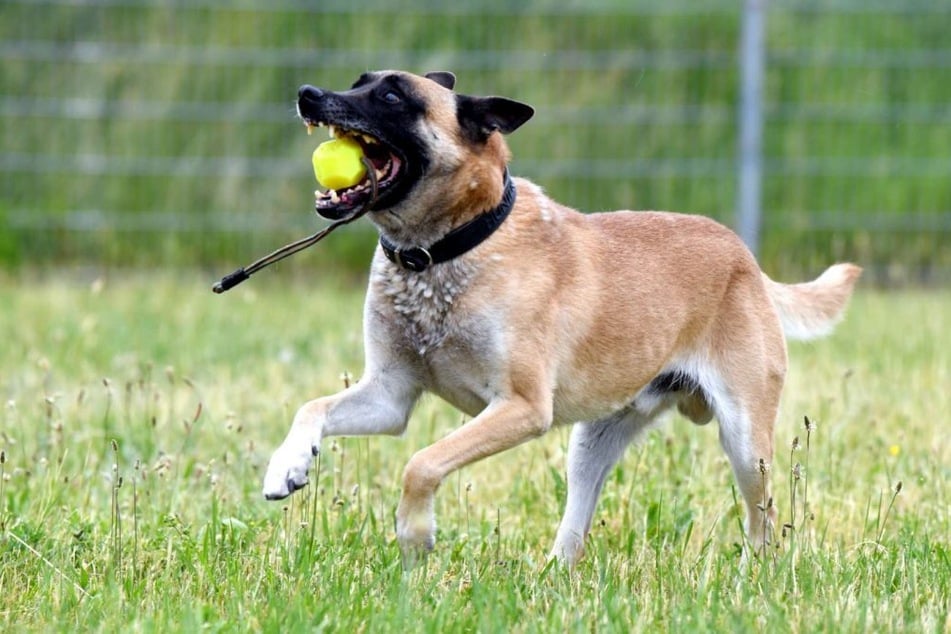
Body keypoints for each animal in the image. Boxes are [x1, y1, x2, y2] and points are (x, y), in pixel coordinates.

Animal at [260, 71, 864, 564]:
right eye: (357, 81)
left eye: (391, 96)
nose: (307, 94)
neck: (445, 251)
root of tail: (746, 259)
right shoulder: (390, 396)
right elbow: (313, 407)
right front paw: (287, 464)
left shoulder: (522, 408)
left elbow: (423, 463)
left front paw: (415, 533)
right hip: (593, 442)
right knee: (577, 522)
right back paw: (552, 571)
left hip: (744, 440)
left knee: (764, 520)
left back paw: (753, 574)